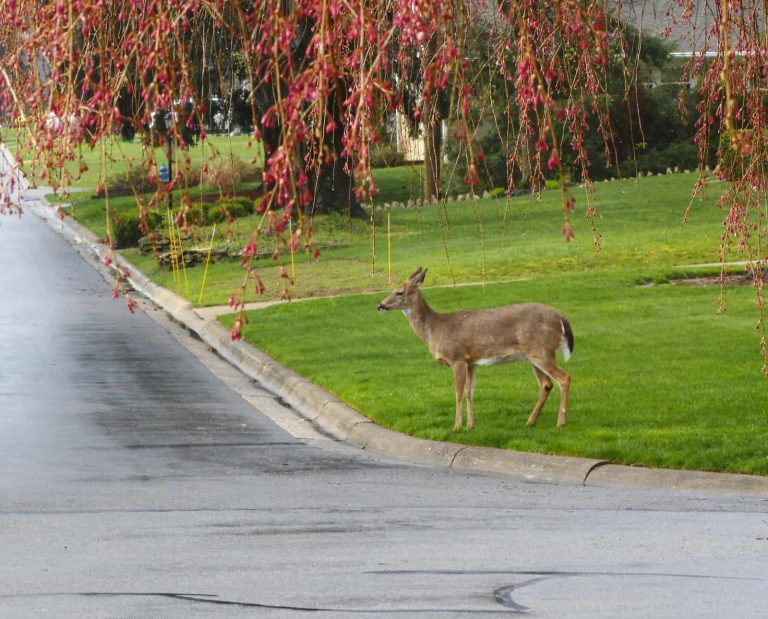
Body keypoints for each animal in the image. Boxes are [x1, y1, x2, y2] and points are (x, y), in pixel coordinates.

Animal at [377, 268, 574, 429]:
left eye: (399, 292)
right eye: (392, 289)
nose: (380, 305)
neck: (437, 328)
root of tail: (561, 317)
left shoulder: (457, 357)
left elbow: (457, 393)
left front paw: (457, 426)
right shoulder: (471, 362)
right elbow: (469, 393)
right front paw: (470, 425)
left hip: (542, 351)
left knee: (565, 378)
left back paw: (560, 422)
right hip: (533, 355)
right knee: (546, 385)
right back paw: (530, 421)